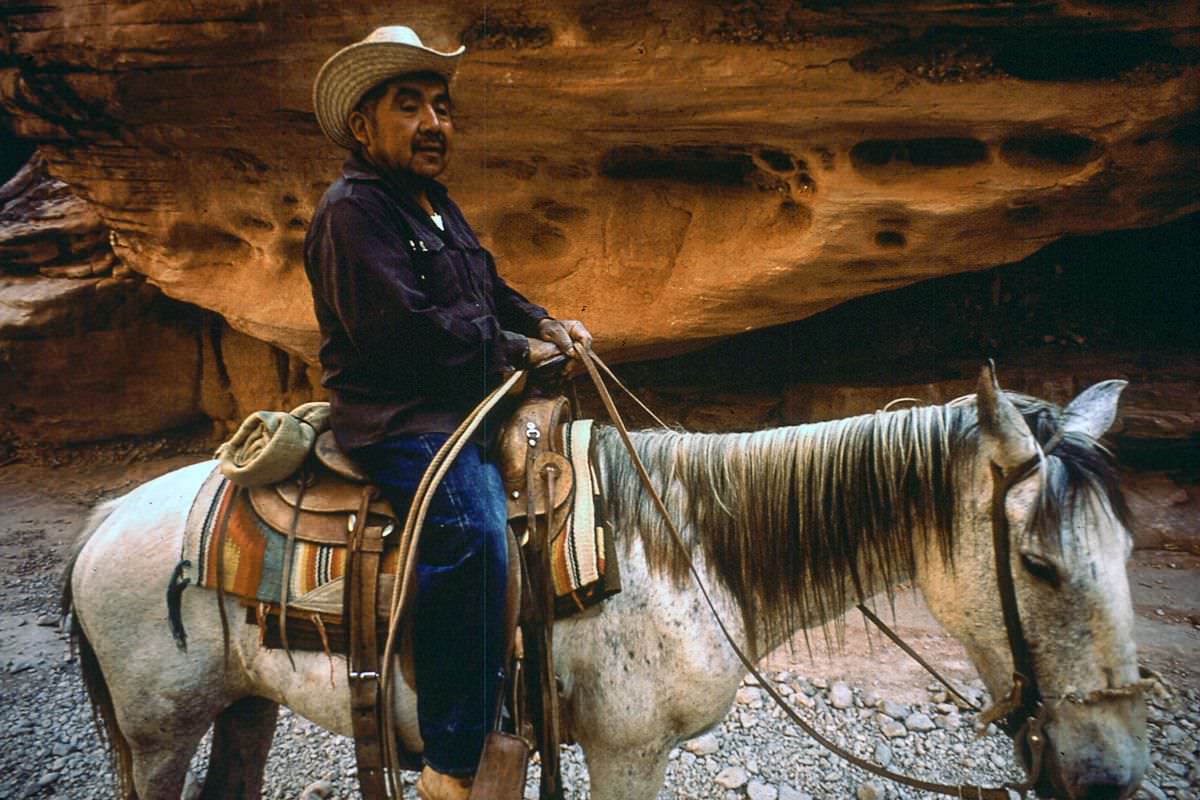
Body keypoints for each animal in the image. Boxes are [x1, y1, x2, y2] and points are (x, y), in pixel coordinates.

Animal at [63, 367, 1142, 796]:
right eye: (1039, 562)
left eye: (1128, 554)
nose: (1115, 776)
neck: (691, 547)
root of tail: (106, 517)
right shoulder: (627, 749)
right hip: (158, 731)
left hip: (244, 703)